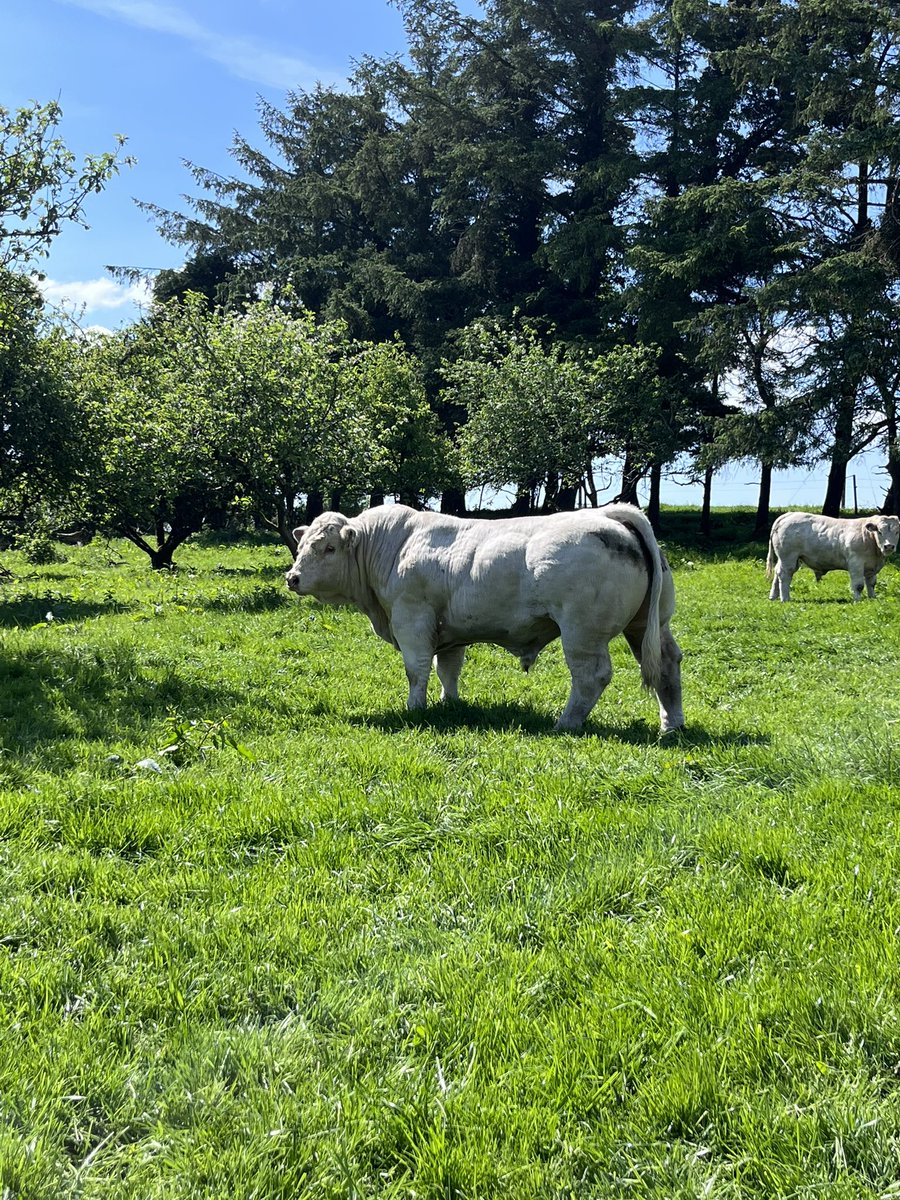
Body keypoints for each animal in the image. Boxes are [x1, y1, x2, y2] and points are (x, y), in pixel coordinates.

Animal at [285, 503, 684, 733]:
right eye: (302, 546)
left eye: (329, 548)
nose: (293, 577)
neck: (391, 546)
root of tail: (609, 515)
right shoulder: (448, 630)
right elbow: (448, 668)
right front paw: (449, 703)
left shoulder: (411, 618)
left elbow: (417, 669)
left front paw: (415, 708)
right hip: (649, 626)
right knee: (667, 664)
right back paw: (671, 724)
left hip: (582, 633)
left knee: (591, 677)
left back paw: (565, 723)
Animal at [766, 511, 900, 601]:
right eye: (879, 531)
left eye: (897, 532)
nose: (889, 546)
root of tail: (788, 515)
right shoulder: (856, 563)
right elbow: (858, 585)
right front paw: (857, 600)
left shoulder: (871, 566)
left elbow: (871, 583)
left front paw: (872, 598)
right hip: (788, 557)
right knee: (784, 575)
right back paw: (785, 599)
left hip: (788, 559)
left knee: (777, 573)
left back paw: (773, 596)